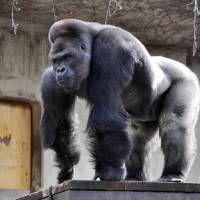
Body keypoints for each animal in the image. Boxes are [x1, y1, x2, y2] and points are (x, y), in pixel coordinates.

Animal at [40, 18, 200, 183]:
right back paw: (134, 176)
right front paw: (66, 166)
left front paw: (109, 171)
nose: (60, 70)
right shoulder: (50, 81)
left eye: (67, 57)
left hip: (186, 79)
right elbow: (60, 124)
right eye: (56, 60)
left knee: (174, 123)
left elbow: (106, 117)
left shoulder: (111, 48)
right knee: (137, 136)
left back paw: (173, 173)